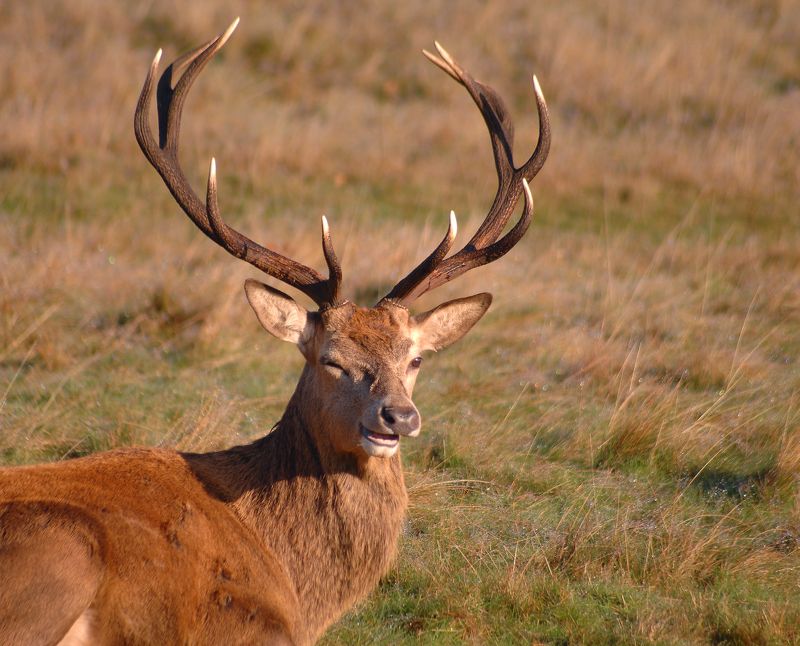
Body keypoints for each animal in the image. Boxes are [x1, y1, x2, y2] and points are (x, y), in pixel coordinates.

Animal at [0, 18, 550, 646]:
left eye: (415, 359)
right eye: (331, 359)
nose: (399, 417)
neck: (296, 581)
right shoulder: (240, 621)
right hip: (64, 548)